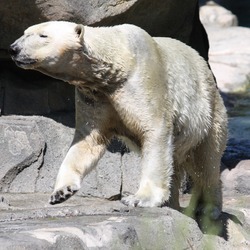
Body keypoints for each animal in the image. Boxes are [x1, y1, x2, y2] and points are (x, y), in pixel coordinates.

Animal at [10, 21, 227, 219]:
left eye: (43, 35)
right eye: (25, 32)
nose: (14, 48)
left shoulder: (143, 80)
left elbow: (154, 130)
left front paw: (140, 198)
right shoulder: (94, 96)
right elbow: (87, 141)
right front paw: (61, 192)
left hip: (208, 113)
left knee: (205, 161)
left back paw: (208, 207)